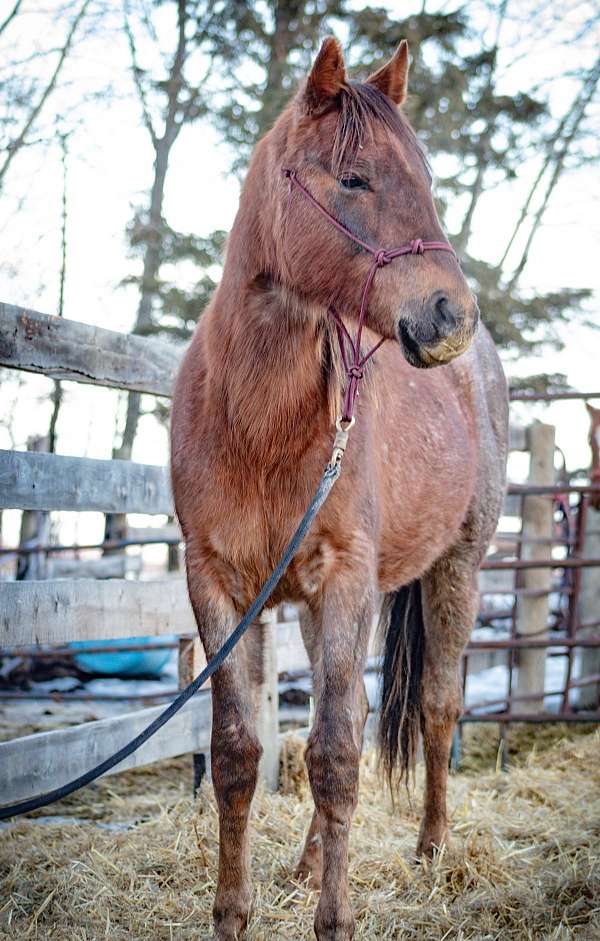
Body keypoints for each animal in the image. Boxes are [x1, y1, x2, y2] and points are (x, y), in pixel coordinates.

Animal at [171, 36, 508, 940]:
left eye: (425, 177)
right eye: (354, 179)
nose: (450, 315)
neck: (256, 417)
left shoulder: (346, 577)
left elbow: (333, 755)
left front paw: (335, 918)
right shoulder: (220, 583)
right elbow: (240, 752)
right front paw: (232, 911)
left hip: (455, 569)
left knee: (434, 706)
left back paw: (432, 847)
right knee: (349, 713)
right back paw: (305, 862)